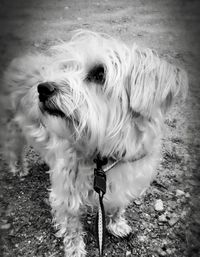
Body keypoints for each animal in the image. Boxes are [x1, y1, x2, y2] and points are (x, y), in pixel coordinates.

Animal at [1, 29, 188, 254]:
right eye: (65, 68)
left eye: (100, 74)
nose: (43, 88)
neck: (106, 152)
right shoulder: (66, 194)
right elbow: (72, 228)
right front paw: (75, 250)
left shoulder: (123, 185)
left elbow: (118, 205)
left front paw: (117, 224)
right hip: (13, 129)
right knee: (13, 150)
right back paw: (19, 168)